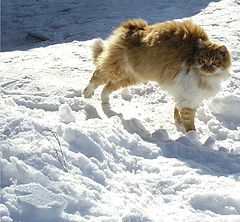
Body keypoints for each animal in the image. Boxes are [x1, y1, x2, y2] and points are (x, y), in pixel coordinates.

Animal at [83, 19, 232, 132]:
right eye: (202, 61)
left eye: (214, 63)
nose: (206, 68)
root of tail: (133, 26)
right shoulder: (188, 97)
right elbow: (188, 119)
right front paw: (192, 136)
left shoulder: (182, 94)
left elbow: (177, 109)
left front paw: (178, 122)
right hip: (116, 68)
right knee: (96, 76)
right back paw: (87, 93)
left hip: (131, 76)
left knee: (107, 86)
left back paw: (104, 100)